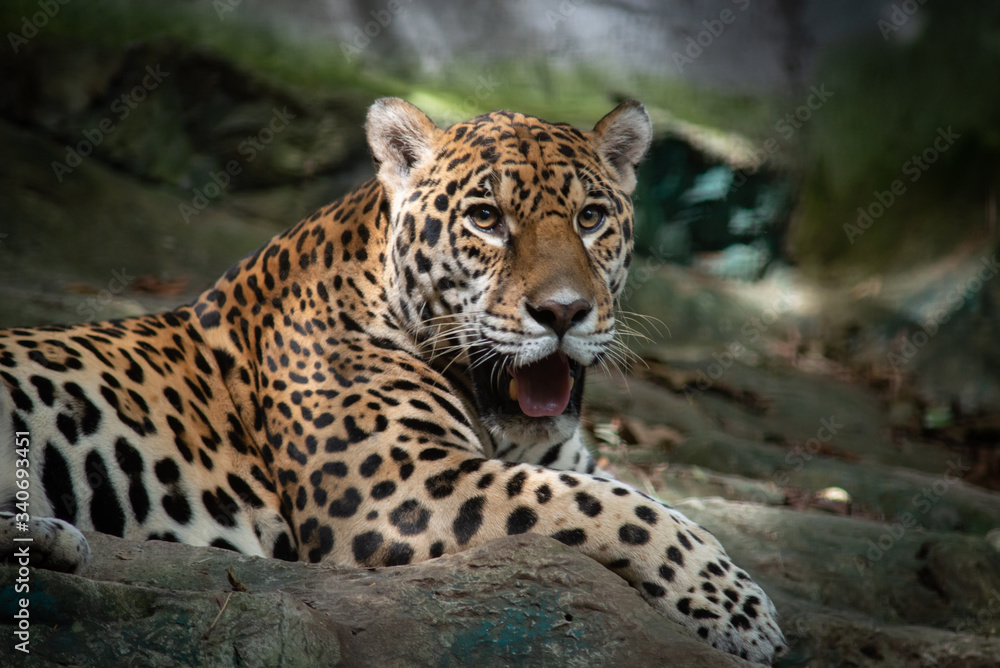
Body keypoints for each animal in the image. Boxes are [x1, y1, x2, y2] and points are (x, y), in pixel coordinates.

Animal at [0, 98, 786, 663]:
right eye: (486, 218)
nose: (564, 312)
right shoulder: (401, 489)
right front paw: (740, 610)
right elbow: (616, 508)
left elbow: (633, 493)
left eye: (592, 217)